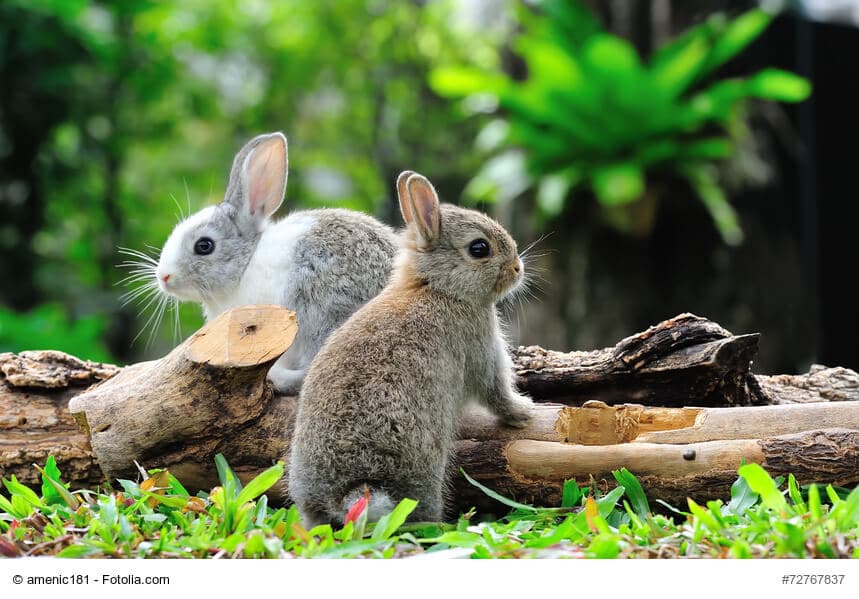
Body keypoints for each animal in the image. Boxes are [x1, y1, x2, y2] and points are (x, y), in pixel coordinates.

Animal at [287, 170, 534, 527]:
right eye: (479, 248)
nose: (517, 268)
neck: (437, 288)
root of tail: (347, 492)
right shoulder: (480, 347)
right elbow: (496, 392)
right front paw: (523, 412)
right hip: (423, 469)